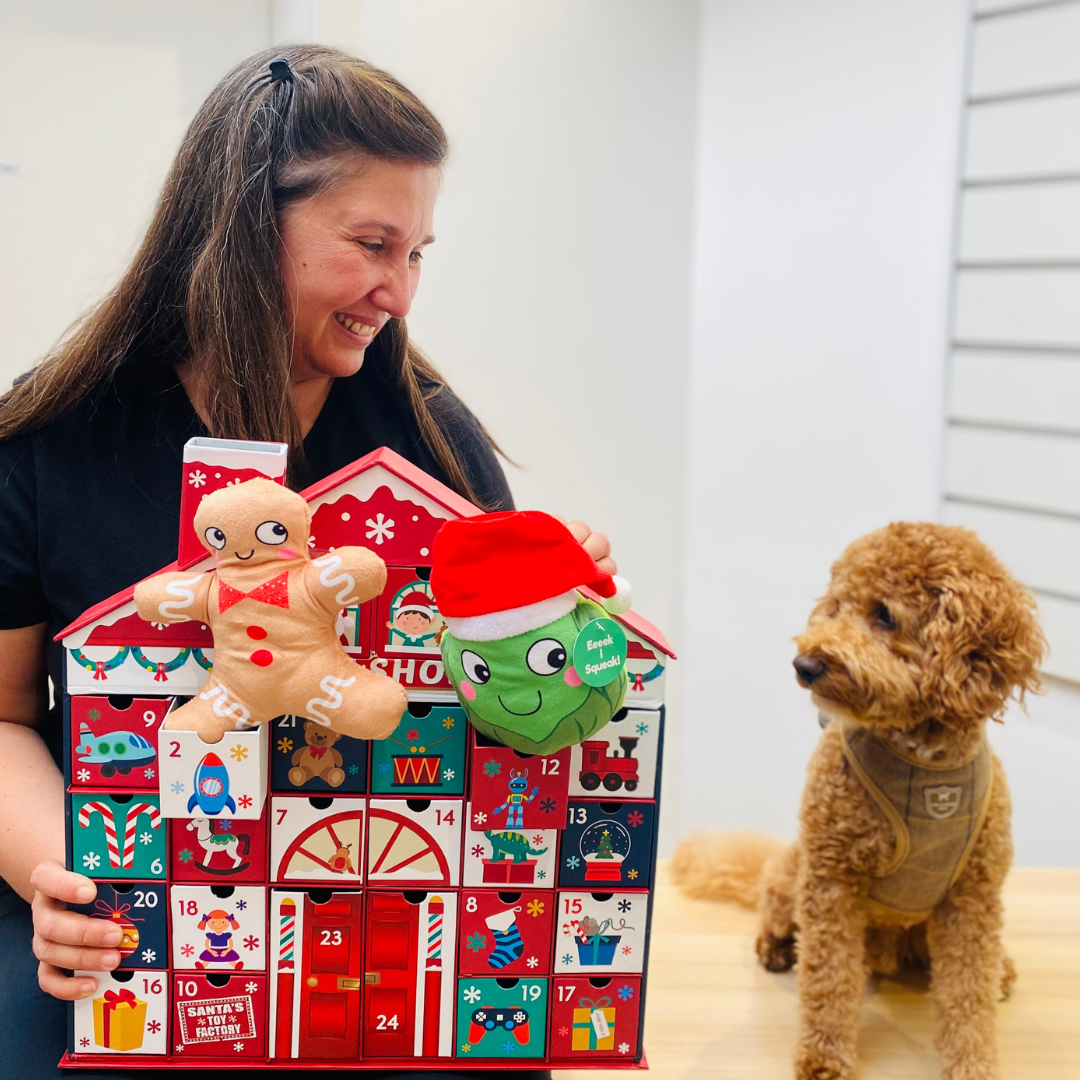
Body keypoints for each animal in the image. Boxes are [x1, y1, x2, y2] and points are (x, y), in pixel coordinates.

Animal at [669, 522, 1041, 1080]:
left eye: (884, 614)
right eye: (836, 605)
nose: (804, 664)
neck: (925, 764)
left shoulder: (972, 897)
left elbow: (968, 994)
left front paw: (972, 1063)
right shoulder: (831, 883)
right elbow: (829, 980)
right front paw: (823, 1056)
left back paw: (1002, 970)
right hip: (792, 869)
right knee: (772, 905)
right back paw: (775, 948)